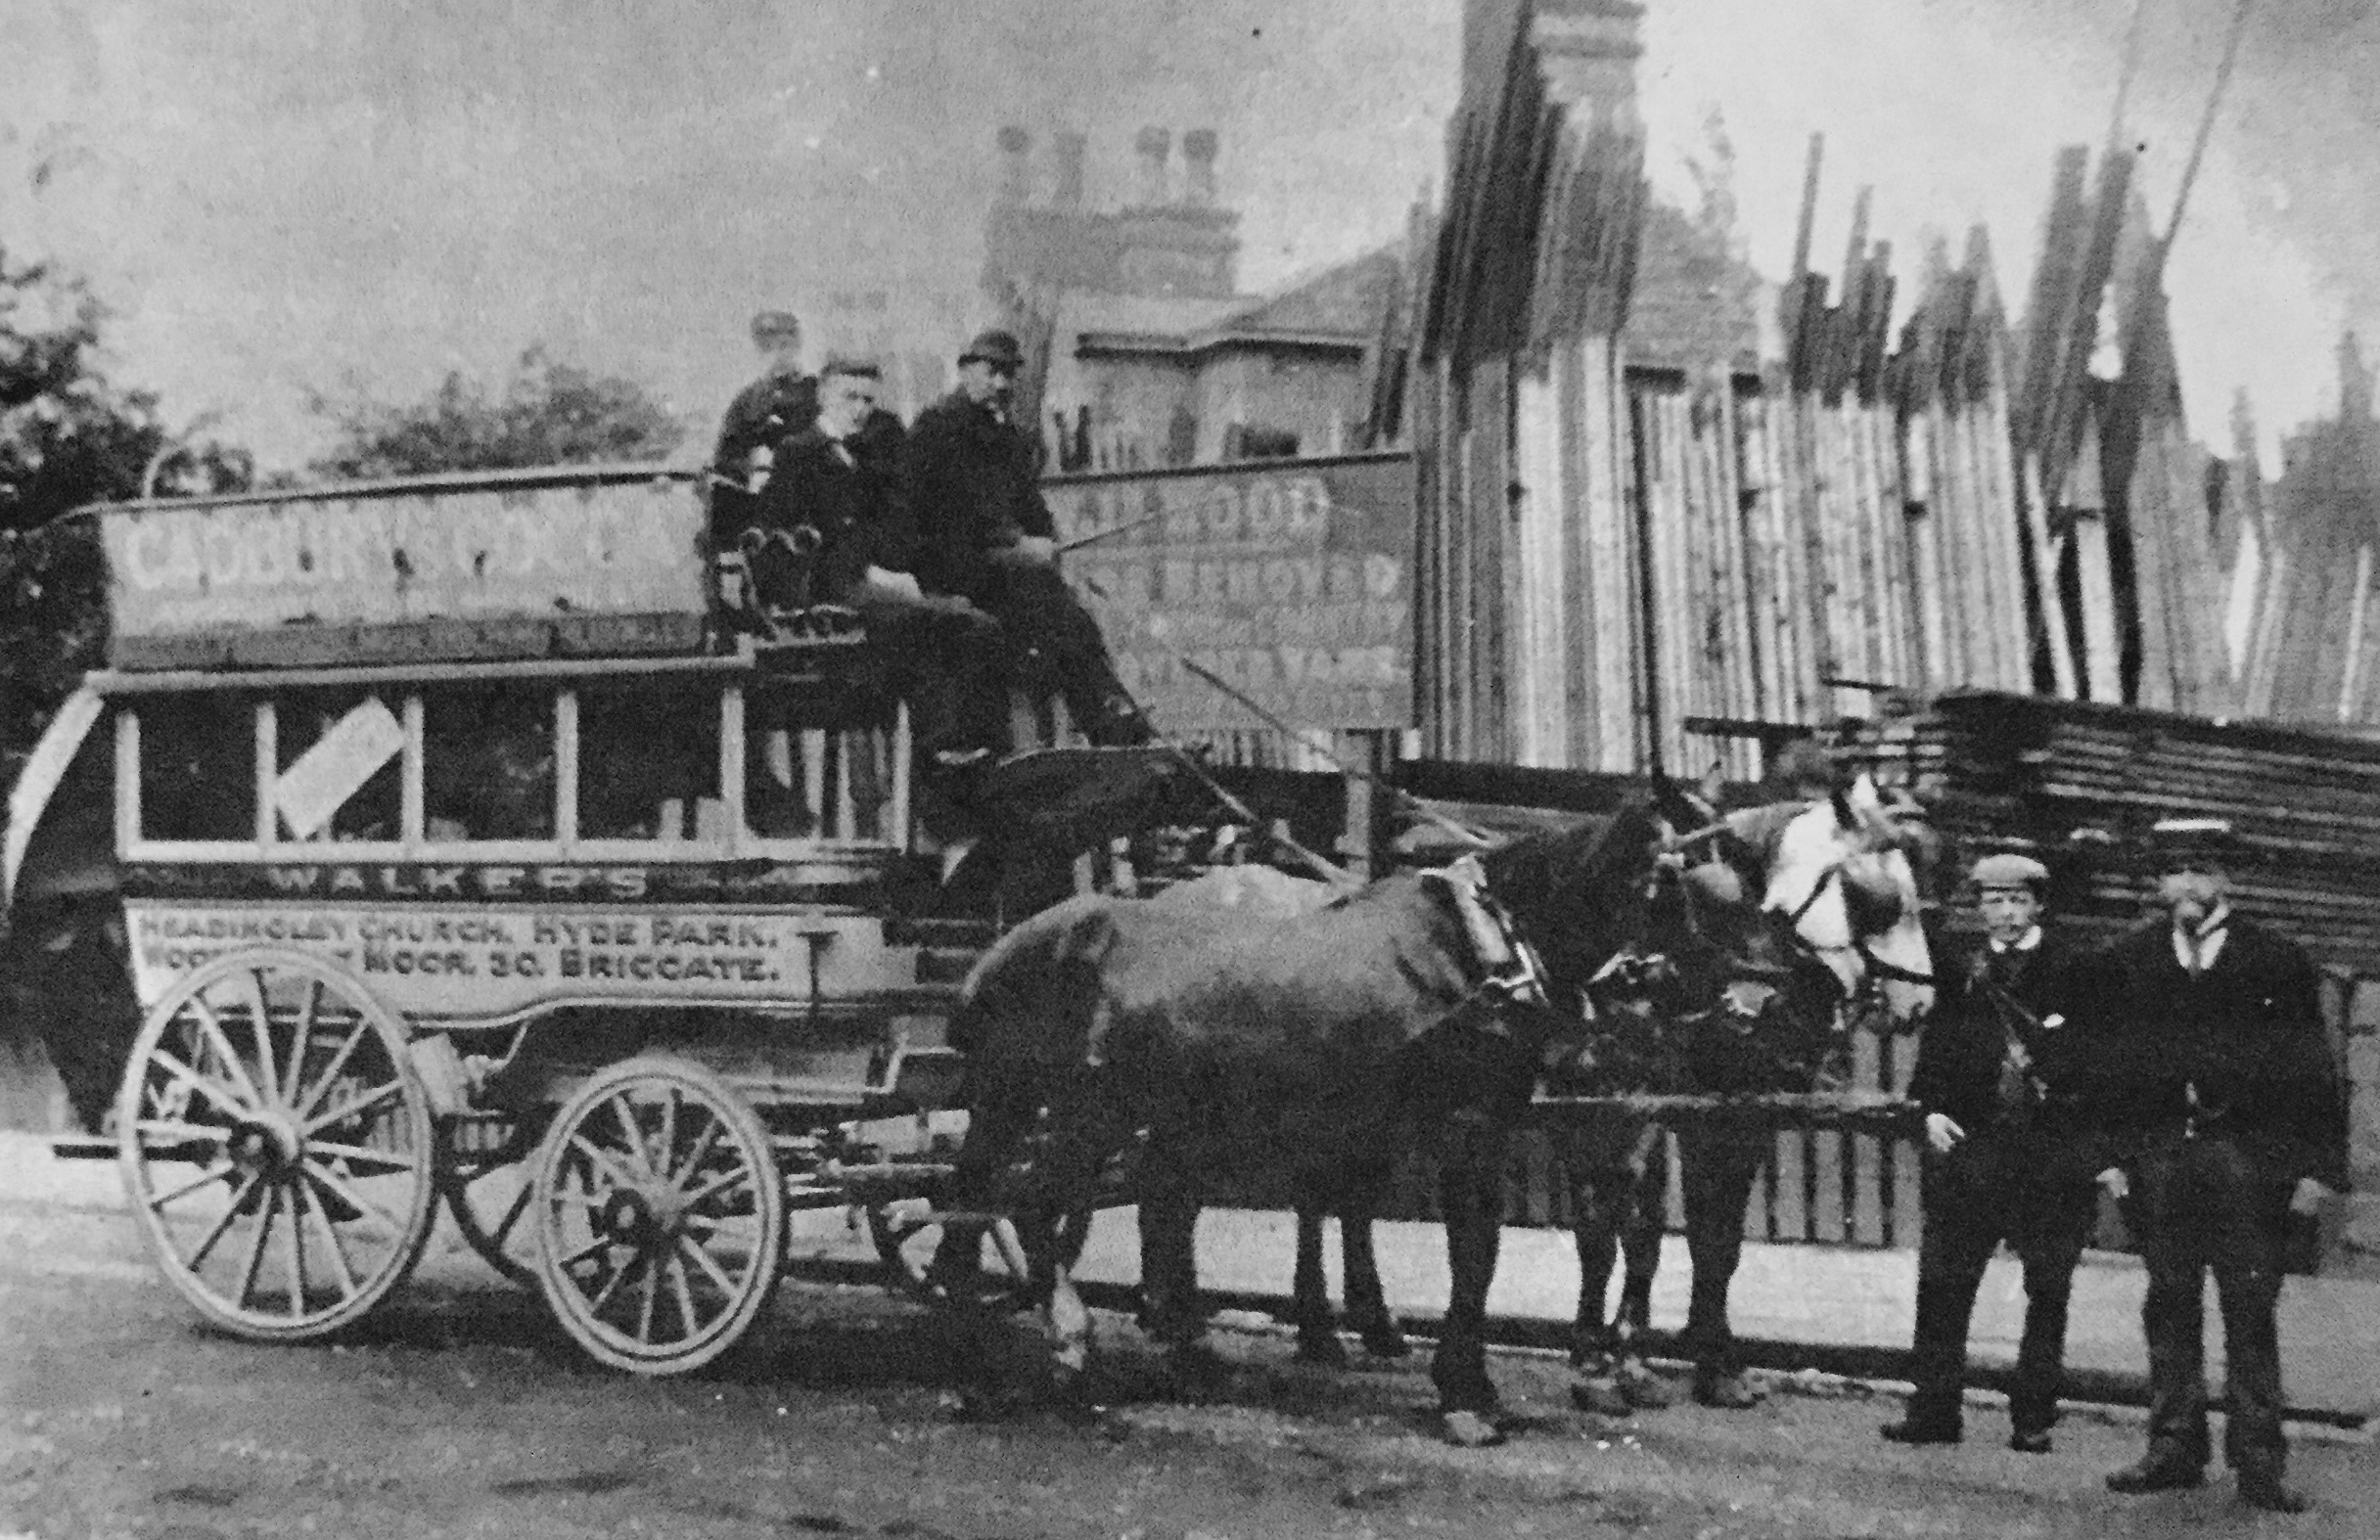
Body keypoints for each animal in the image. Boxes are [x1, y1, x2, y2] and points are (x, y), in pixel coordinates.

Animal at [928, 799, 1675, 1437]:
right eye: (1674, 882)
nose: (1645, 1035)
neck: (1475, 945)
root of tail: (1007, 949)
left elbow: (1520, 1245)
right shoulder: (1466, 1127)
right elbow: (1476, 1250)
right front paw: (1466, 1395)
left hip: (1065, 1107)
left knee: (998, 1199)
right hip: (1073, 1108)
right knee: (1023, 1200)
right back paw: (1055, 1344)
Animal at [1561, 776, 1932, 1418]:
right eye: (1877, 897)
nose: (1920, 1002)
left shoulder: (1735, 1112)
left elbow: (1717, 1239)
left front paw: (1715, 1364)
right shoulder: (1626, 1109)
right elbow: (1618, 1230)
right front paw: (1607, 1363)